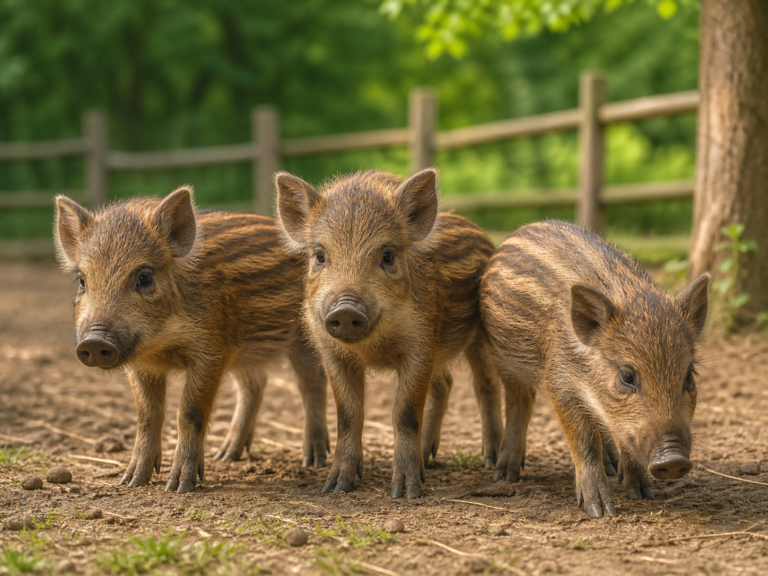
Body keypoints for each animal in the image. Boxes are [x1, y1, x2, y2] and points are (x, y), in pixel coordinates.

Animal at [53, 187, 329, 493]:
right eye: (82, 280)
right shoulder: (144, 364)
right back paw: (226, 455)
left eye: (144, 277)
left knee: (312, 387)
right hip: (244, 352)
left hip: (304, 340)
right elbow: (147, 416)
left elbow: (189, 413)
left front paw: (179, 486)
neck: (162, 344)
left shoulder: (211, 351)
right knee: (254, 385)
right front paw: (132, 481)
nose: (93, 342)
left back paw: (314, 460)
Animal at [275, 168, 502, 499]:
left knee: (485, 387)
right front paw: (336, 487)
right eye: (319, 255)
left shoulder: (421, 344)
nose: (346, 310)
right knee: (444, 385)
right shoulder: (332, 353)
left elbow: (404, 413)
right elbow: (347, 415)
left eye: (387, 255)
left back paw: (490, 462)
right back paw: (427, 458)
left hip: (482, 338)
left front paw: (405, 492)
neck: (374, 347)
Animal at [480, 220, 709, 518]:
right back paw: (506, 475)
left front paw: (642, 494)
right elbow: (584, 439)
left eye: (689, 375)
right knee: (520, 402)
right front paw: (600, 511)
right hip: (505, 360)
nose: (673, 461)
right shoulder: (558, 382)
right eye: (627, 376)